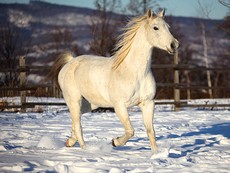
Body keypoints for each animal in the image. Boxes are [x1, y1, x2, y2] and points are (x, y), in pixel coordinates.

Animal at [47, 9, 180, 153]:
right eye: (155, 27)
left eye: (168, 27)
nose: (174, 45)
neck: (135, 72)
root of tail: (70, 62)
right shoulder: (119, 106)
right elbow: (130, 131)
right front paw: (115, 142)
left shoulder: (148, 103)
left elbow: (151, 132)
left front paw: (155, 155)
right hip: (74, 100)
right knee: (78, 126)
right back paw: (85, 150)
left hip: (90, 104)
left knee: (76, 120)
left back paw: (69, 142)